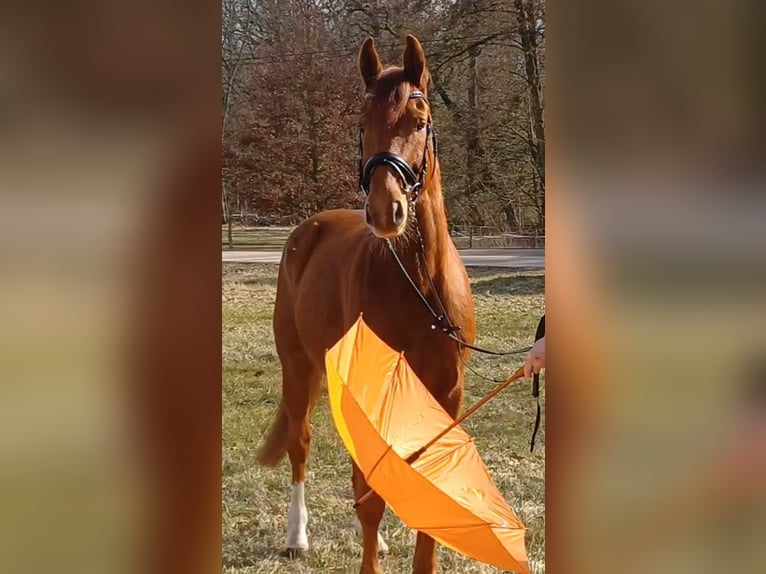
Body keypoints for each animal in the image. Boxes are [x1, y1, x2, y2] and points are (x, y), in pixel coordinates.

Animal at [257, 35, 477, 574]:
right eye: (362, 124)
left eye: (419, 121)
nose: (384, 210)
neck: (421, 286)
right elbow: (370, 494)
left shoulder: (446, 393)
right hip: (299, 367)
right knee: (301, 446)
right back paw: (297, 537)